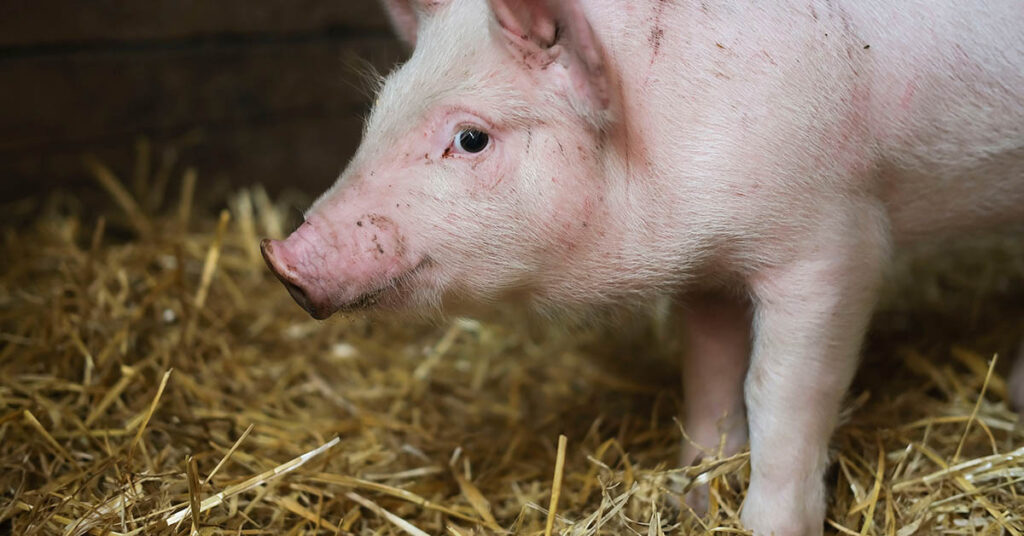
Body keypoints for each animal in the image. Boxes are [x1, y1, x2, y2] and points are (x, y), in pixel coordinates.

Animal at [260, 0, 1024, 534]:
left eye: (471, 139)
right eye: (378, 112)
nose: (281, 260)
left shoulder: (834, 242)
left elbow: (779, 391)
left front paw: (766, 524)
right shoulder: (710, 272)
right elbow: (709, 376)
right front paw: (693, 500)